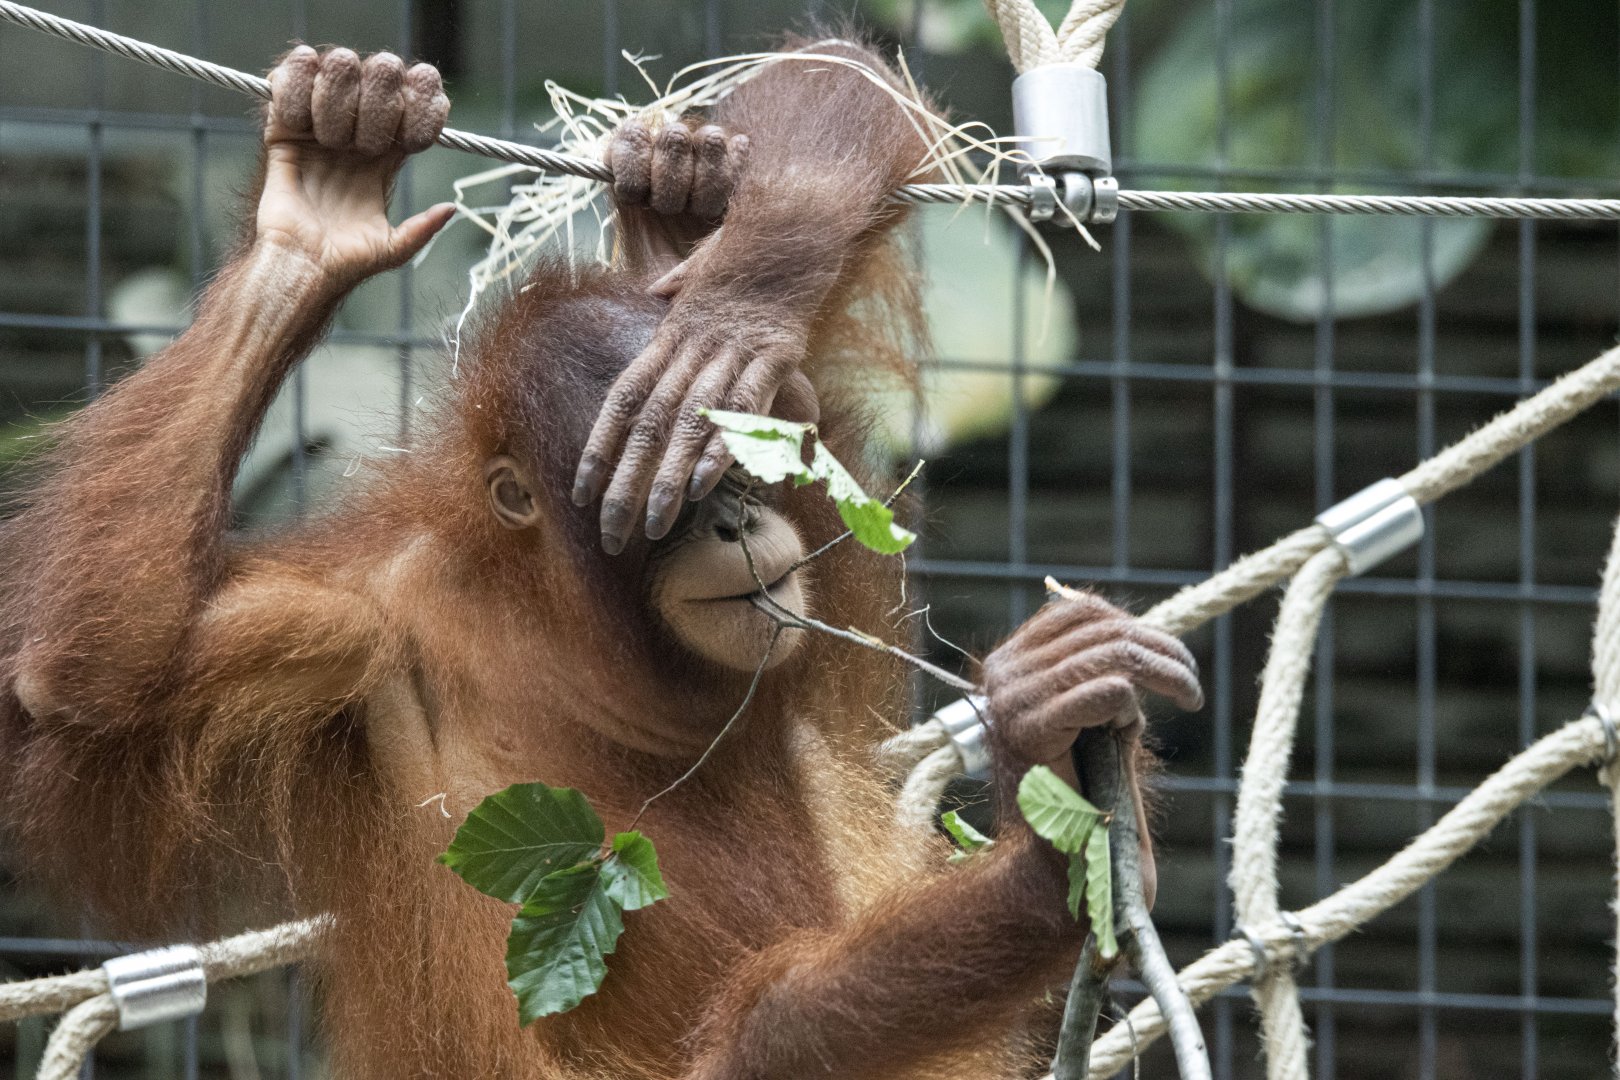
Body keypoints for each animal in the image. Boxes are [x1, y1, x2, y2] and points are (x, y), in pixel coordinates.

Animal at [0, 37, 1201, 1080]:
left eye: (749, 472)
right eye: (684, 497)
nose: (736, 522)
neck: (579, 629)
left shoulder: (814, 497)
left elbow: (843, 87)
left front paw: (728, 294)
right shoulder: (354, 618)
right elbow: (94, 677)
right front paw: (308, 228)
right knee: (760, 1031)